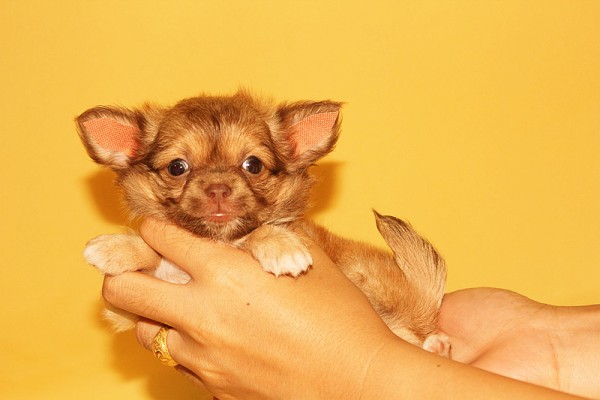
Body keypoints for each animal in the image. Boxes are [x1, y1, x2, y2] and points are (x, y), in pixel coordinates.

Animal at [77, 90, 450, 356]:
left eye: (253, 165)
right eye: (177, 167)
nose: (218, 189)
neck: (218, 240)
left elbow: (255, 232)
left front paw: (280, 246)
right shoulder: (128, 312)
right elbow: (152, 258)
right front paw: (114, 247)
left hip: (365, 276)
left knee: (407, 332)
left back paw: (436, 344)